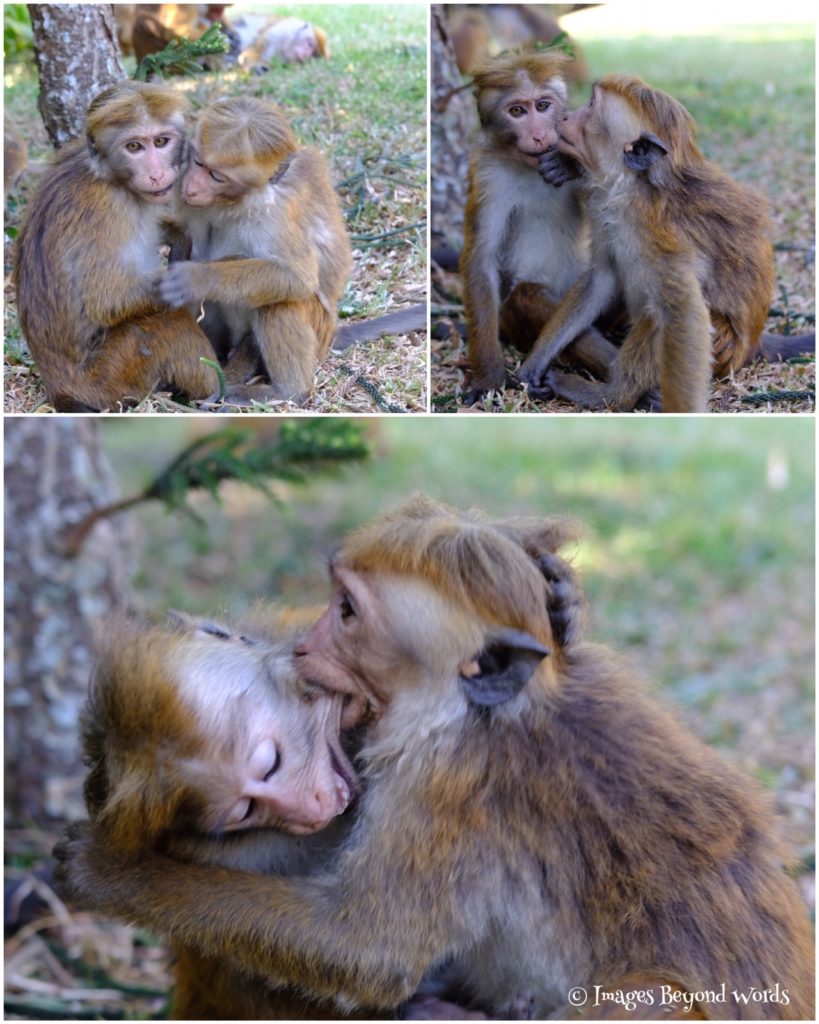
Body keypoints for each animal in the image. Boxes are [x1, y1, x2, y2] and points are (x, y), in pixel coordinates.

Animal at [13, 80, 220, 412]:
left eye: (161, 141)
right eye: (134, 147)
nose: (156, 174)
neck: (111, 177)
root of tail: (59, 389)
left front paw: (179, 240)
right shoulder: (105, 212)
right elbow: (105, 300)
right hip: (110, 375)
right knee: (168, 324)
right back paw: (209, 396)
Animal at [54, 495, 815, 1020]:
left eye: (347, 612)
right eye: (243, 807)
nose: (305, 646)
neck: (478, 718)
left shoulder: (447, 790)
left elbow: (366, 948)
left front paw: (114, 874)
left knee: (655, 997)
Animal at [157, 95, 352, 406]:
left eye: (216, 175)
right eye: (198, 161)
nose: (192, 186)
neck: (237, 201)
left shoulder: (277, 212)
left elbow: (297, 277)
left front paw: (196, 277)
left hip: (319, 331)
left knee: (280, 301)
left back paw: (287, 391)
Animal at [460, 50, 621, 404]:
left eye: (543, 106)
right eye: (517, 111)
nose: (539, 135)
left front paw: (565, 164)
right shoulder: (487, 173)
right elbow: (482, 259)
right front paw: (489, 379)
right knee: (527, 295)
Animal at [519, 74, 813, 412]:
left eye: (591, 106)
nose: (566, 117)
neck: (633, 189)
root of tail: (753, 344)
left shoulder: (665, 237)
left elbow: (684, 311)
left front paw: (620, 398)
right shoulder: (606, 215)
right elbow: (601, 279)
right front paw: (537, 359)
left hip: (722, 349)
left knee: (662, 316)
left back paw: (608, 395)